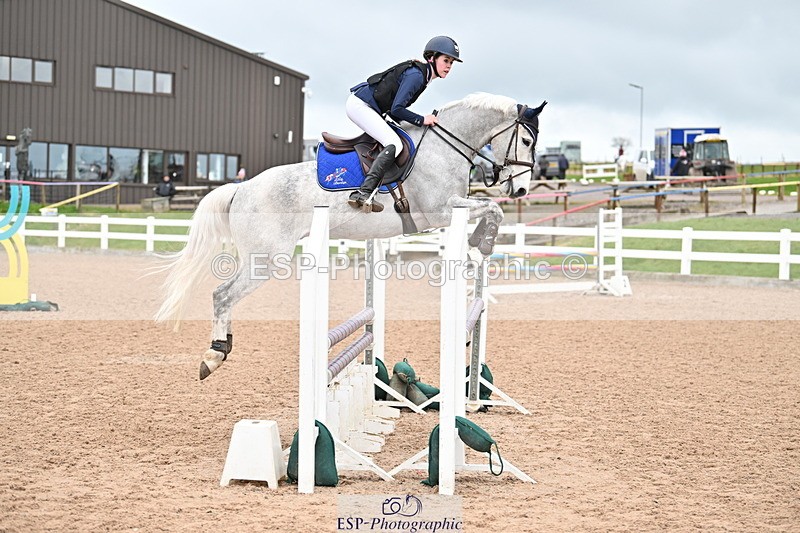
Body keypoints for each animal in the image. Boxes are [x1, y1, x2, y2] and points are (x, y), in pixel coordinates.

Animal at [155, 93, 545, 380]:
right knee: (222, 294)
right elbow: (492, 208)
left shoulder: (450, 210)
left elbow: (490, 208)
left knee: (226, 296)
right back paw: (214, 355)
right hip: (265, 259)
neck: (443, 148)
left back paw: (225, 345)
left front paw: (479, 242)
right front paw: (485, 242)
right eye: (526, 140)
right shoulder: (440, 211)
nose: (521, 190)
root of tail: (241, 188)